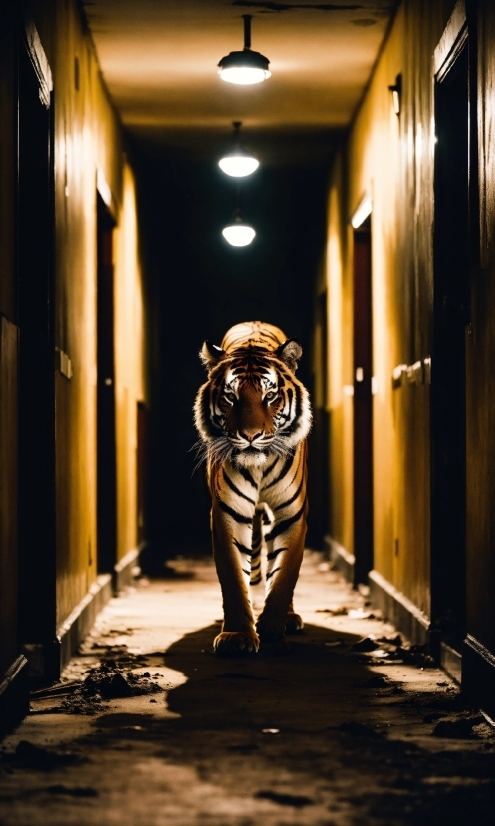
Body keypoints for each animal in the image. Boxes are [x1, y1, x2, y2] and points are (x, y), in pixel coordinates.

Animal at [193, 318, 312, 652]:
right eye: (230, 397)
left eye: (270, 396)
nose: (249, 435)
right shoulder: (227, 514)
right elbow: (234, 577)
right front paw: (238, 636)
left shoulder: (291, 514)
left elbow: (284, 575)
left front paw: (272, 627)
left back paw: (289, 618)